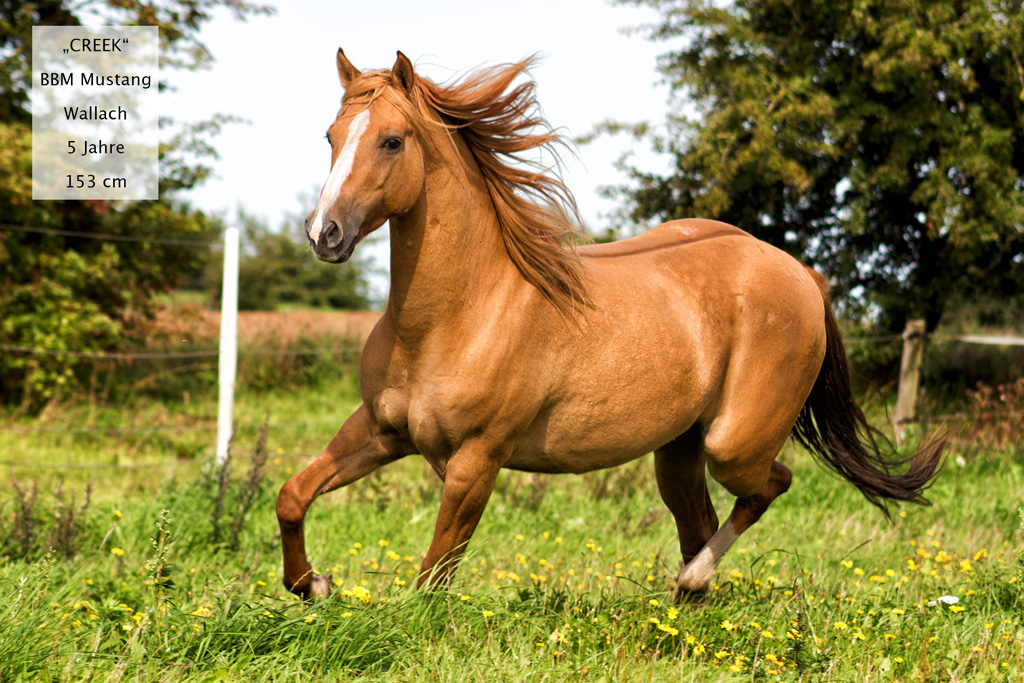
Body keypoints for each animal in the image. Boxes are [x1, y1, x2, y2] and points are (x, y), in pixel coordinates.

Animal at [276, 49, 945, 603]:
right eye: (332, 135)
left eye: (392, 141)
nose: (324, 233)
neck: (457, 316)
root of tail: (801, 274)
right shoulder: (380, 432)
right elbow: (292, 496)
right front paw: (316, 586)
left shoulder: (475, 461)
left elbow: (432, 580)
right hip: (677, 452)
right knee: (699, 520)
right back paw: (686, 606)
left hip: (734, 443)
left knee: (767, 486)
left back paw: (692, 580)